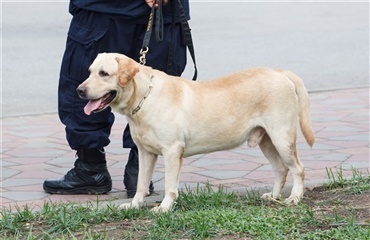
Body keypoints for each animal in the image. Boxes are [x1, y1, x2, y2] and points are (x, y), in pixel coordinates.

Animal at [77, 52, 316, 212]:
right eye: (89, 72)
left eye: (104, 73)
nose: (79, 90)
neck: (144, 97)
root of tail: (279, 72)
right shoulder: (145, 153)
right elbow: (141, 184)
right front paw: (134, 205)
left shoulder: (172, 152)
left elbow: (170, 185)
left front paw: (165, 207)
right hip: (266, 140)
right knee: (281, 169)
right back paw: (273, 196)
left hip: (282, 138)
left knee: (298, 168)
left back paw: (294, 198)